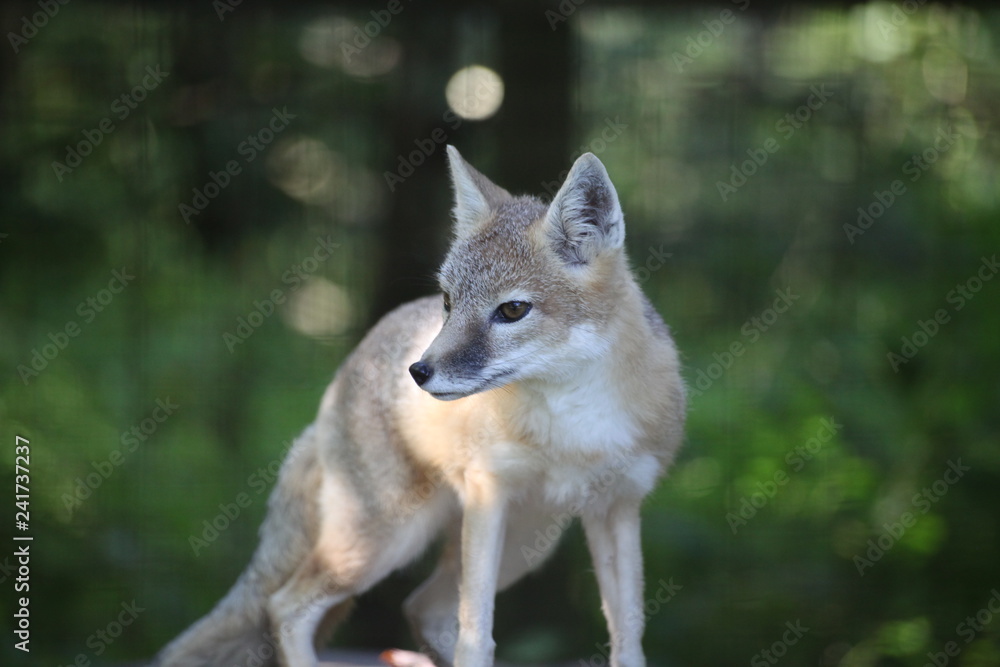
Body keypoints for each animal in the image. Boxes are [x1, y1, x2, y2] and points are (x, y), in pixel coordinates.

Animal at [154, 146, 686, 667]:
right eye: (448, 302)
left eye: (513, 310)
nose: (419, 372)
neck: (575, 428)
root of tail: (347, 368)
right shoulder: (489, 497)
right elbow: (477, 638)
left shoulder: (618, 506)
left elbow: (628, 643)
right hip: (384, 540)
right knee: (286, 606)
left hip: (526, 544)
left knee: (420, 607)